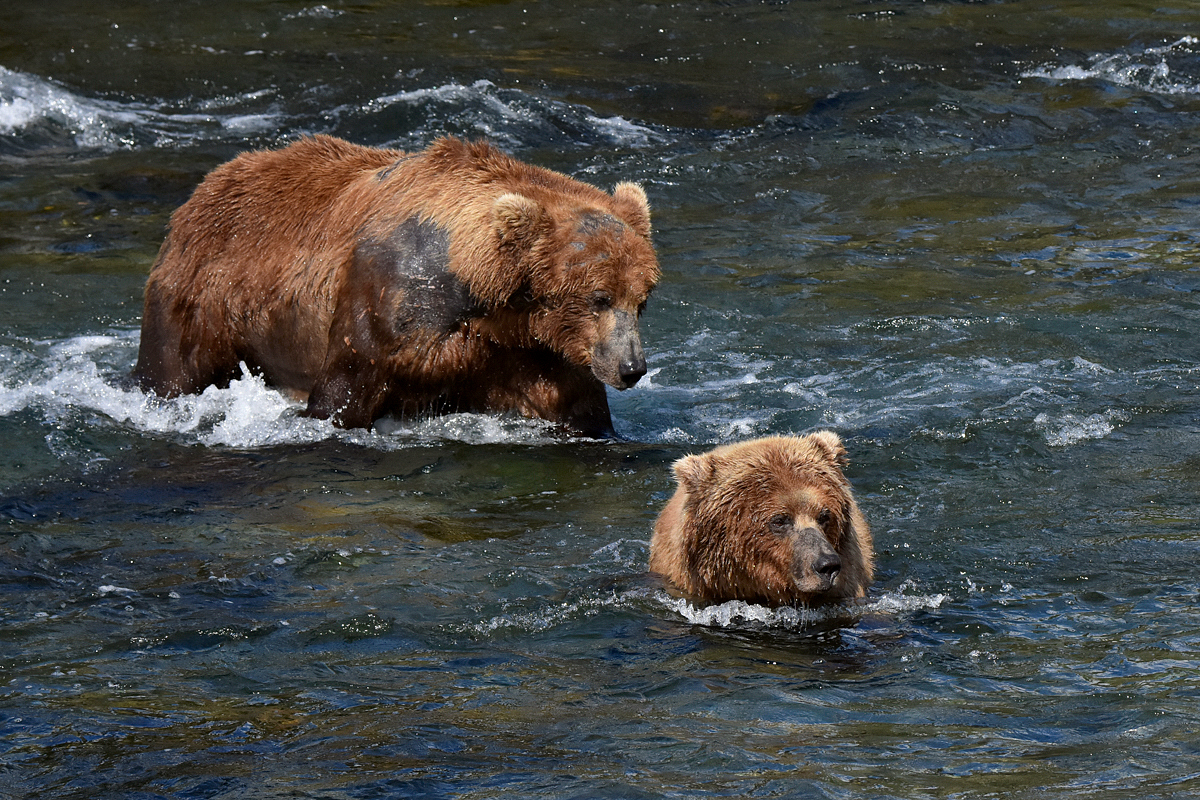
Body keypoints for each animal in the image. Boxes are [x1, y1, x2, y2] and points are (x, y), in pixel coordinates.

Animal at [136, 136, 662, 438]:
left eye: (642, 301)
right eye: (598, 298)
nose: (631, 367)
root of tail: (204, 188)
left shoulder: (533, 353)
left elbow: (578, 411)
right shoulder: (388, 305)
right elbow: (342, 394)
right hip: (201, 295)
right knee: (171, 368)